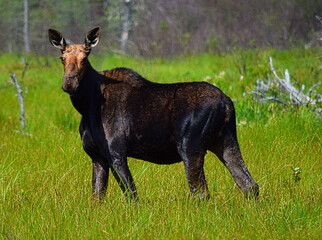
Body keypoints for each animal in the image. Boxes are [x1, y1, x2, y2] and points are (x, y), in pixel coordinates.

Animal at [48, 26, 260, 201]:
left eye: (84, 58)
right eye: (62, 58)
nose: (69, 83)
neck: (87, 105)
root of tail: (227, 104)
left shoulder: (116, 152)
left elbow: (132, 195)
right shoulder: (96, 156)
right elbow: (96, 198)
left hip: (191, 146)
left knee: (201, 193)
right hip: (224, 140)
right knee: (249, 185)